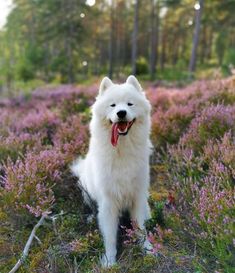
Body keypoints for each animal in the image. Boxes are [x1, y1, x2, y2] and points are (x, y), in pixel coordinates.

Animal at [71, 75, 152, 266]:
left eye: (130, 104)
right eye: (113, 105)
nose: (121, 113)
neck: (122, 150)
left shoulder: (137, 195)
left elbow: (140, 228)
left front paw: (147, 249)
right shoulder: (108, 202)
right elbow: (109, 236)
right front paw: (109, 261)